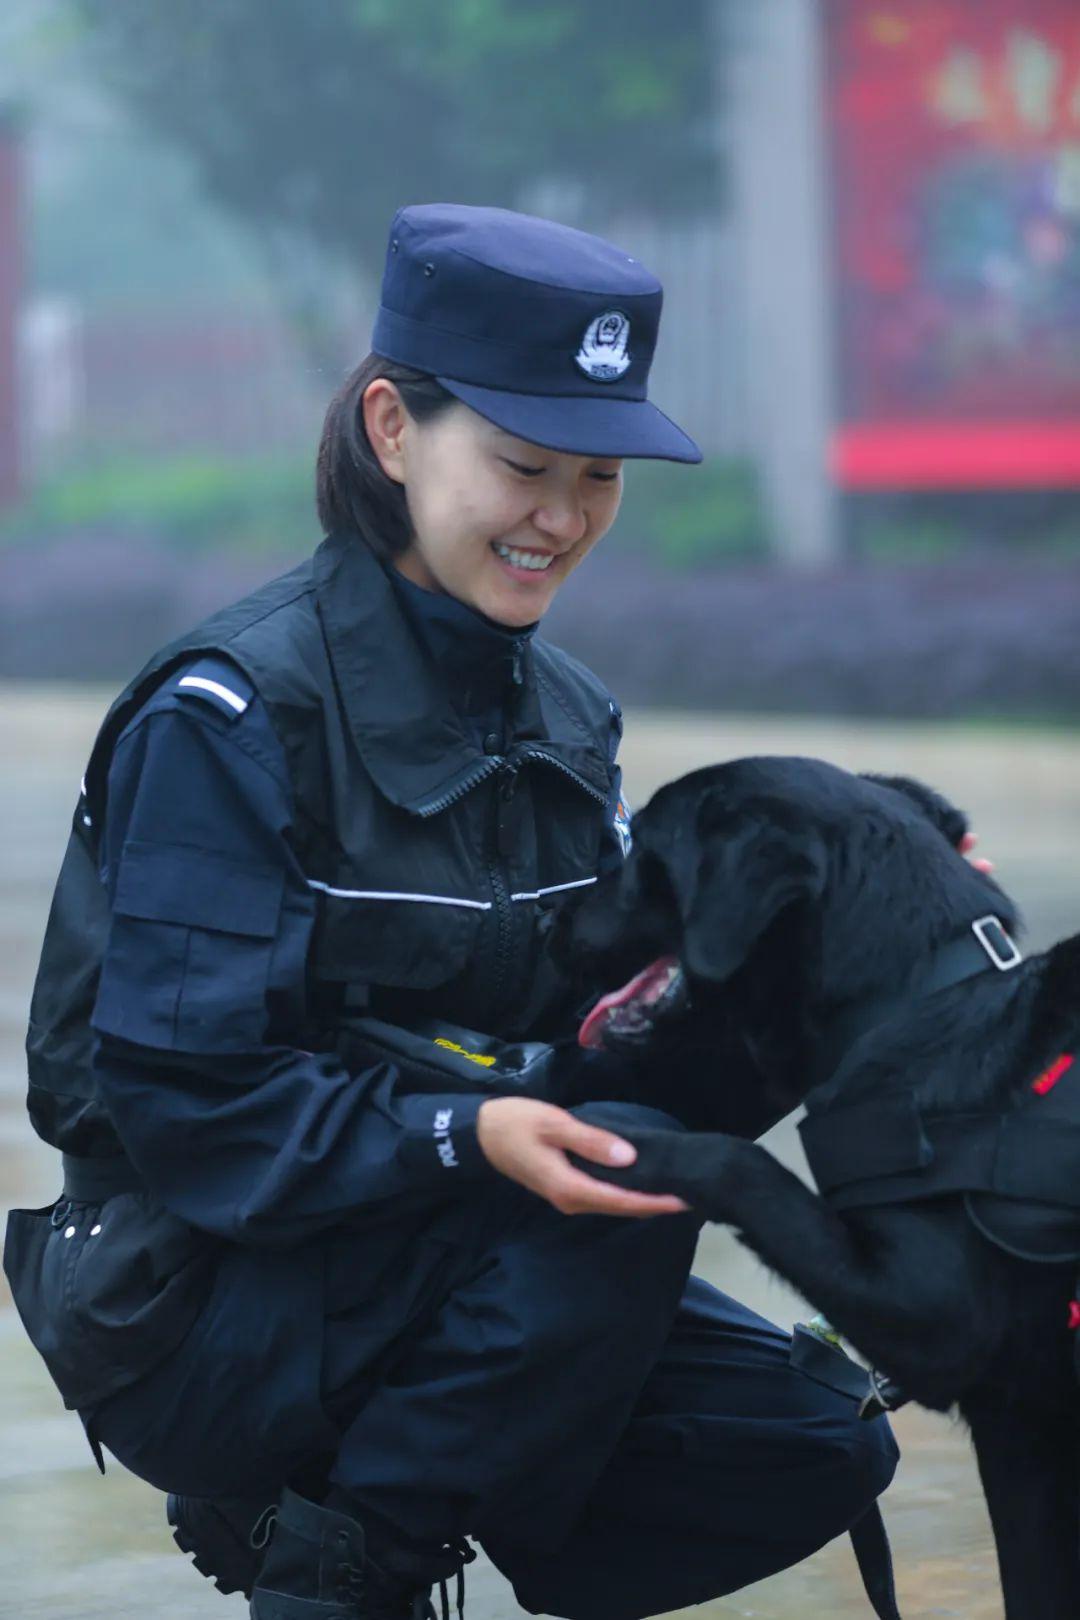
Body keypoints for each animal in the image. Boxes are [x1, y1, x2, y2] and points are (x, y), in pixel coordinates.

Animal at [563, 756, 1080, 1620]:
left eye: (646, 857)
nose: (552, 914)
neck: (921, 1006)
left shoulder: (942, 1321)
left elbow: (742, 1165)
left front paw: (624, 1146)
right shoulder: (1023, 1428)